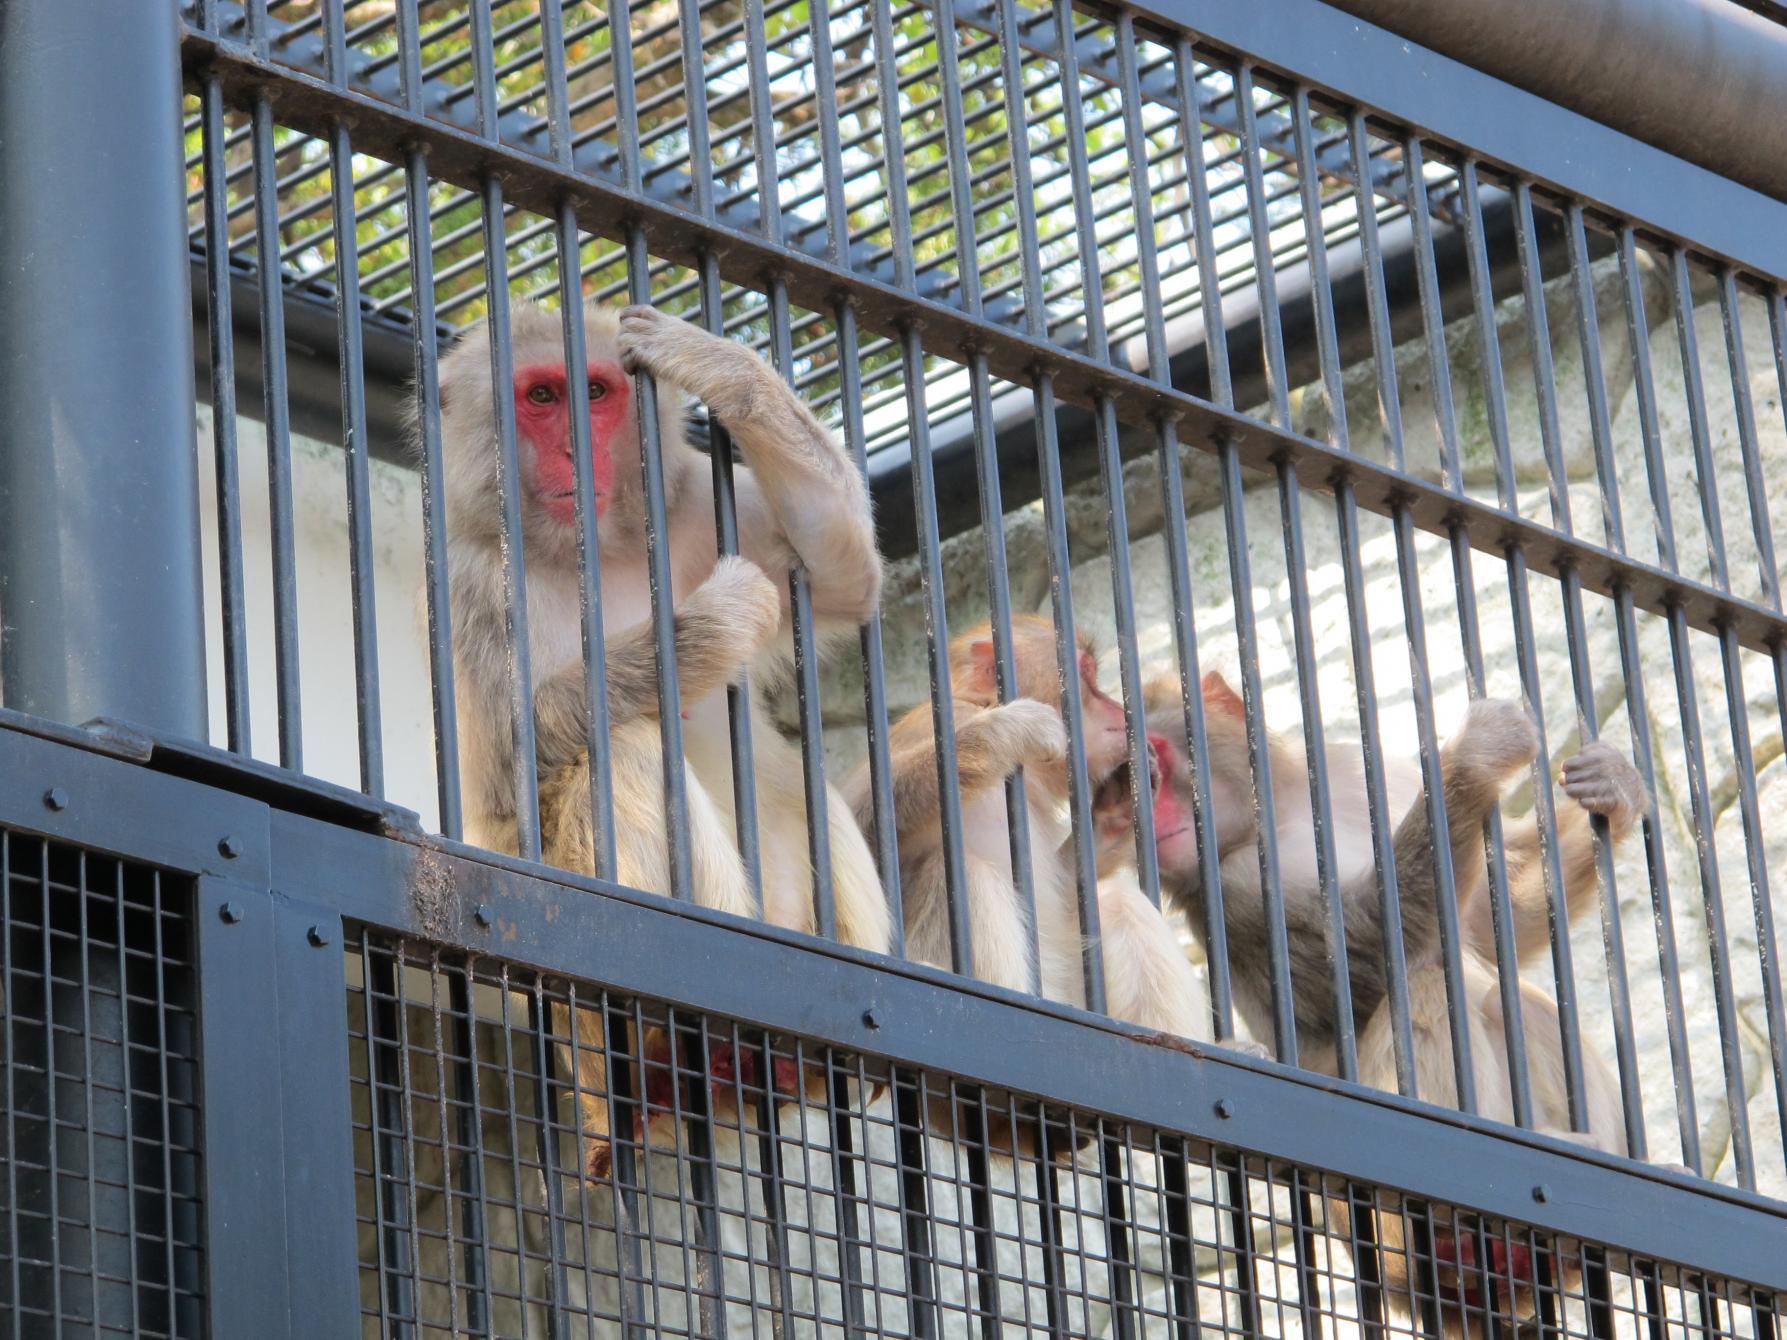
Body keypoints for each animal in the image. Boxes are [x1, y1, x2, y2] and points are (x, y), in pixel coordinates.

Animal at [434, 298, 893, 1179]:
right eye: (540, 397)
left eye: (595, 391)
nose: (576, 443)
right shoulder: (471, 581)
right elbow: (509, 776)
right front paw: (719, 613)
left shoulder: (700, 512)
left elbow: (843, 579)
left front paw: (718, 366)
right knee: (627, 751)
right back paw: (664, 1052)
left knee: (792, 783)